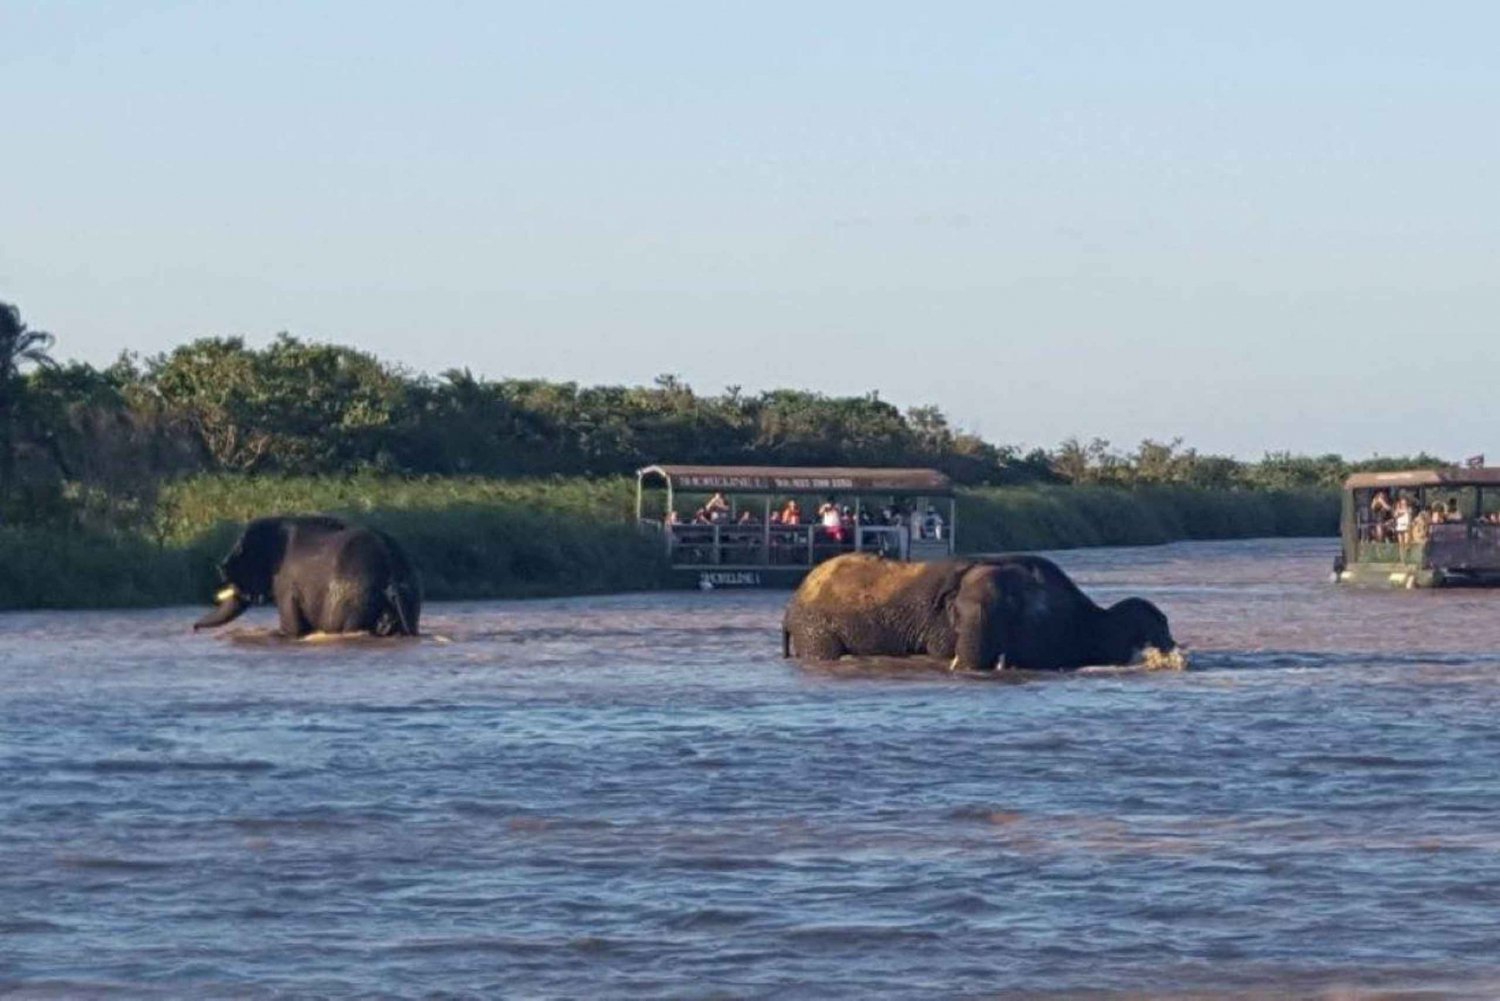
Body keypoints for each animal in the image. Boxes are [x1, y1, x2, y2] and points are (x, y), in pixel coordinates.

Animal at [192, 522, 423, 639]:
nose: (194, 628)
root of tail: (391, 573)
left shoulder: (285, 584)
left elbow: (292, 628)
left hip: (356, 600)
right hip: (409, 594)